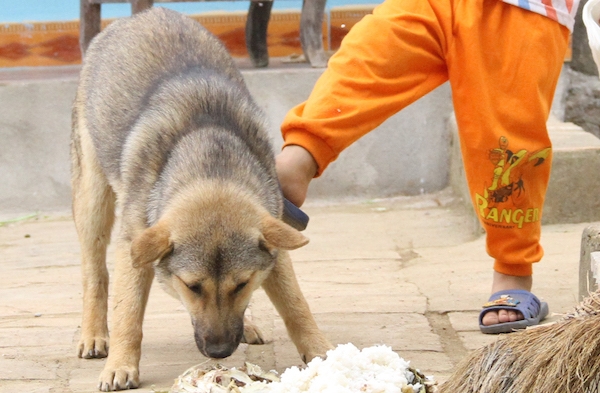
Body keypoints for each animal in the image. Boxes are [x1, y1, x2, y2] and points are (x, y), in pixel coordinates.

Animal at [72, 7, 332, 390]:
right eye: (192, 286)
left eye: (241, 284)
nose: (220, 352)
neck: (211, 165)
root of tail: (143, 15)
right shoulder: (134, 245)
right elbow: (127, 315)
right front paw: (121, 364)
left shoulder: (274, 243)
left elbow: (296, 305)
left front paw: (322, 351)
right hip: (92, 199)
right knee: (95, 274)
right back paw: (94, 334)